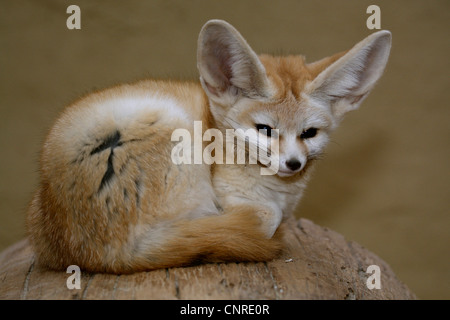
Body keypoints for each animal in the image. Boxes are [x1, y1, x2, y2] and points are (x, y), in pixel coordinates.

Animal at [25, 20, 390, 272]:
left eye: (309, 133)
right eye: (264, 130)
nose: (293, 164)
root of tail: (104, 255)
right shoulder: (228, 196)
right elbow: (267, 215)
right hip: (176, 135)